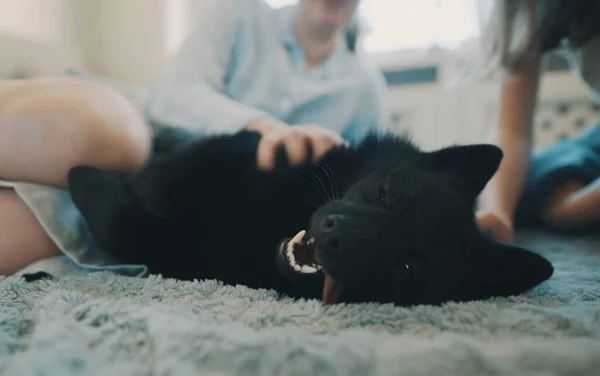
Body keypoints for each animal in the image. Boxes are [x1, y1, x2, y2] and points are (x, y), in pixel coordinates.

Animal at [67, 128, 552, 306]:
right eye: (384, 193)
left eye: (408, 267)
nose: (333, 233)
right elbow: (173, 173)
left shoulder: (189, 256)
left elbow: (130, 225)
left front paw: (83, 178)